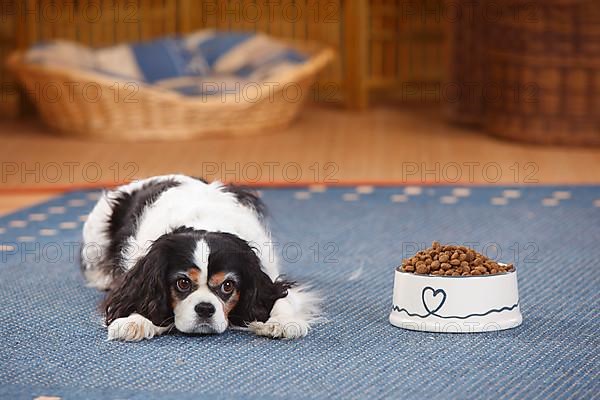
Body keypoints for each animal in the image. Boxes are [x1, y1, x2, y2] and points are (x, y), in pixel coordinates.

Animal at [82, 175, 322, 340]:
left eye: (228, 286)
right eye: (182, 283)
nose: (205, 308)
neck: (204, 222)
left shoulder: (269, 275)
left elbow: (281, 298)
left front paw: (282, 321)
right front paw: (135, 320)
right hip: (95, 234)